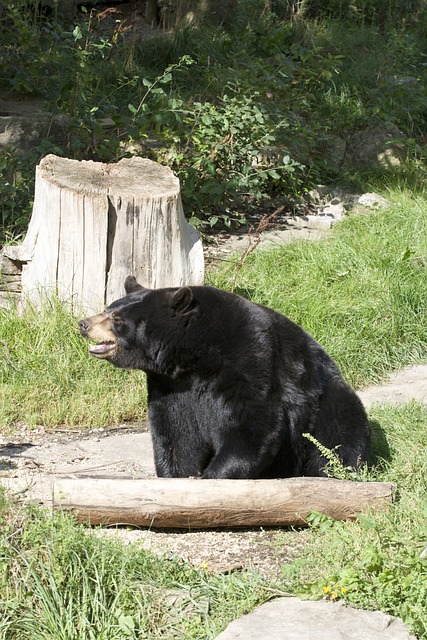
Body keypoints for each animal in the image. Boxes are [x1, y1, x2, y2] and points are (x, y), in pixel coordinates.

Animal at [77, 278, 372, 478]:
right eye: (108, 308)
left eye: (117, 319)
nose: (84, 324)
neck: (195, 356)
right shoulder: (169, 385)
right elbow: (175, 431)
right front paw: (177, 475)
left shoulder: (249, 361)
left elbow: (253, 425)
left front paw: (212, 476)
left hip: (325, 400)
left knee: (340, 425)